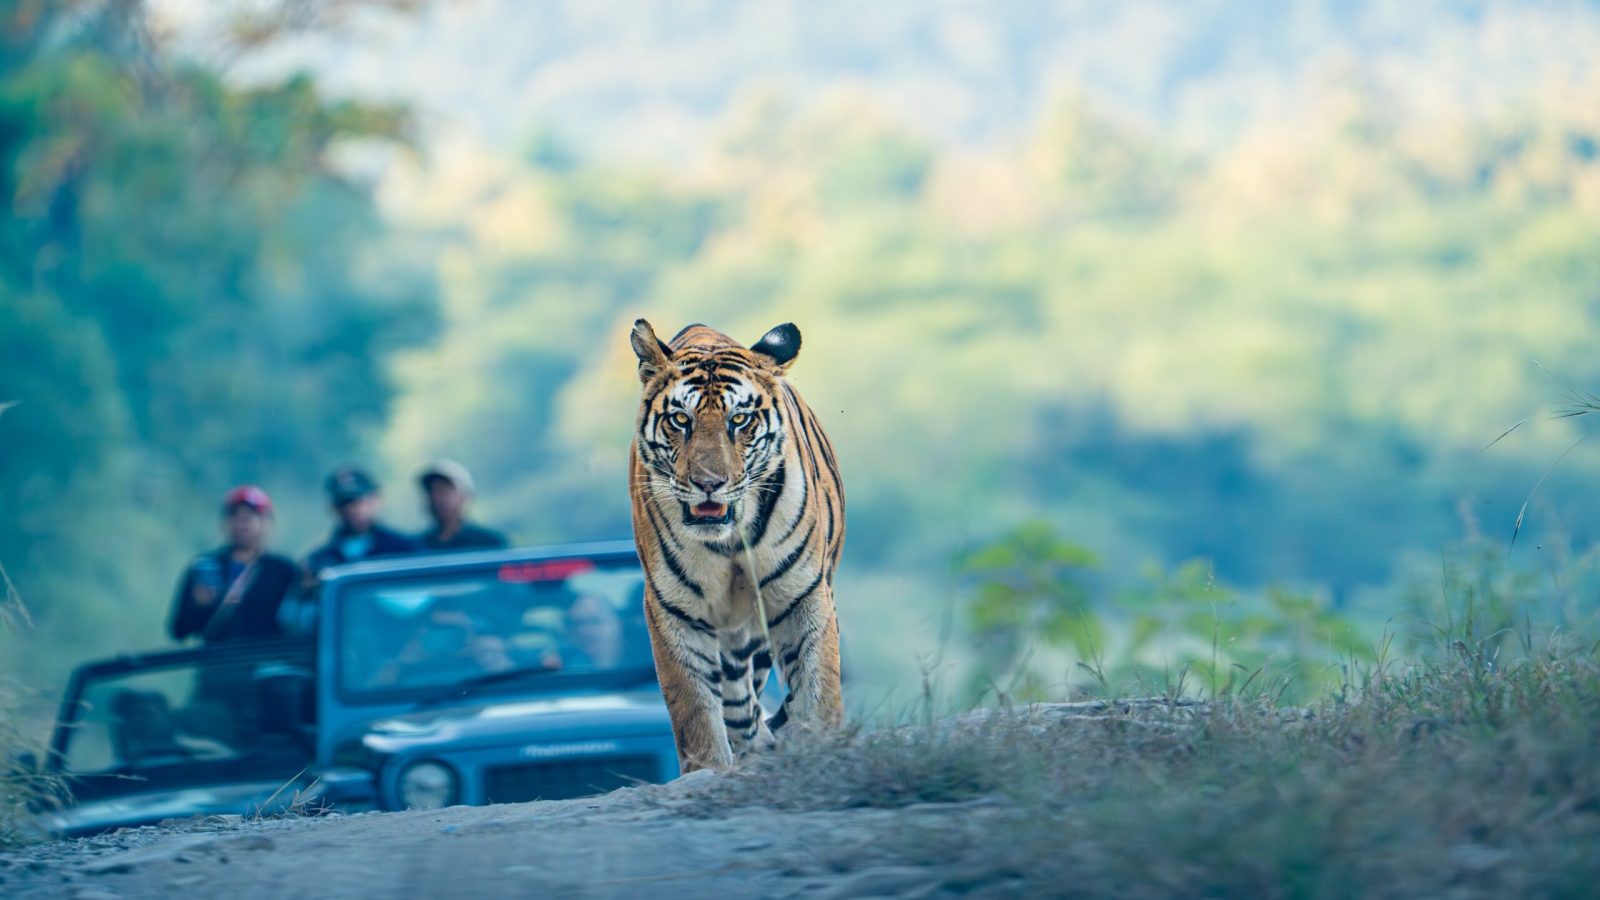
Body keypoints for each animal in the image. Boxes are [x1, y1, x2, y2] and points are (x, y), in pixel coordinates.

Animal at [628, 319, 846, 772]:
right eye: (681, 419)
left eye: (739, 419)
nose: (709, 483)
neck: (727, 543)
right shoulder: (674, 609)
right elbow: (695, 712)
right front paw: (709, 769)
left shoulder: (803, 593)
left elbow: (818, 685)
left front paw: (822, 743)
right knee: (738, 709)